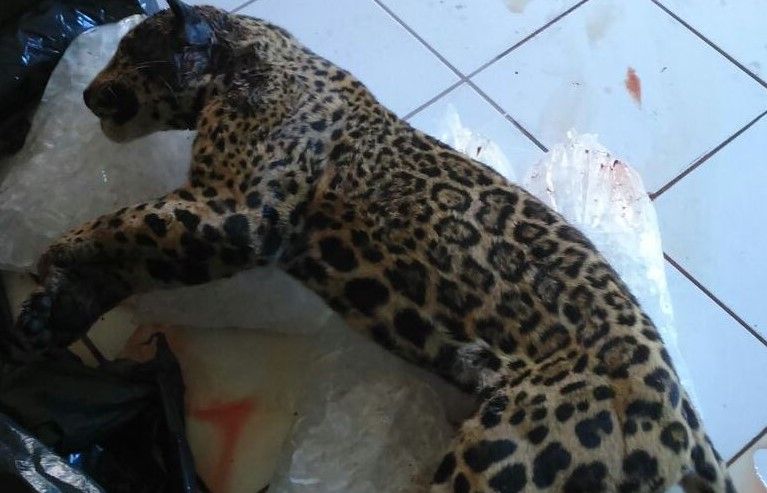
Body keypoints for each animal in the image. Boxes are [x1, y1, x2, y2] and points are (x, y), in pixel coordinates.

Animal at [6, 1, 735, 492]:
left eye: (131, 53)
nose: (88, 92)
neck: (247, 58)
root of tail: (685, 428)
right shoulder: (213, 218)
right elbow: (135, 254)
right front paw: (51, 312)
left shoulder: (237, 215)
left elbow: (129, 221)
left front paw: (57, 252)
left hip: (500, 463)